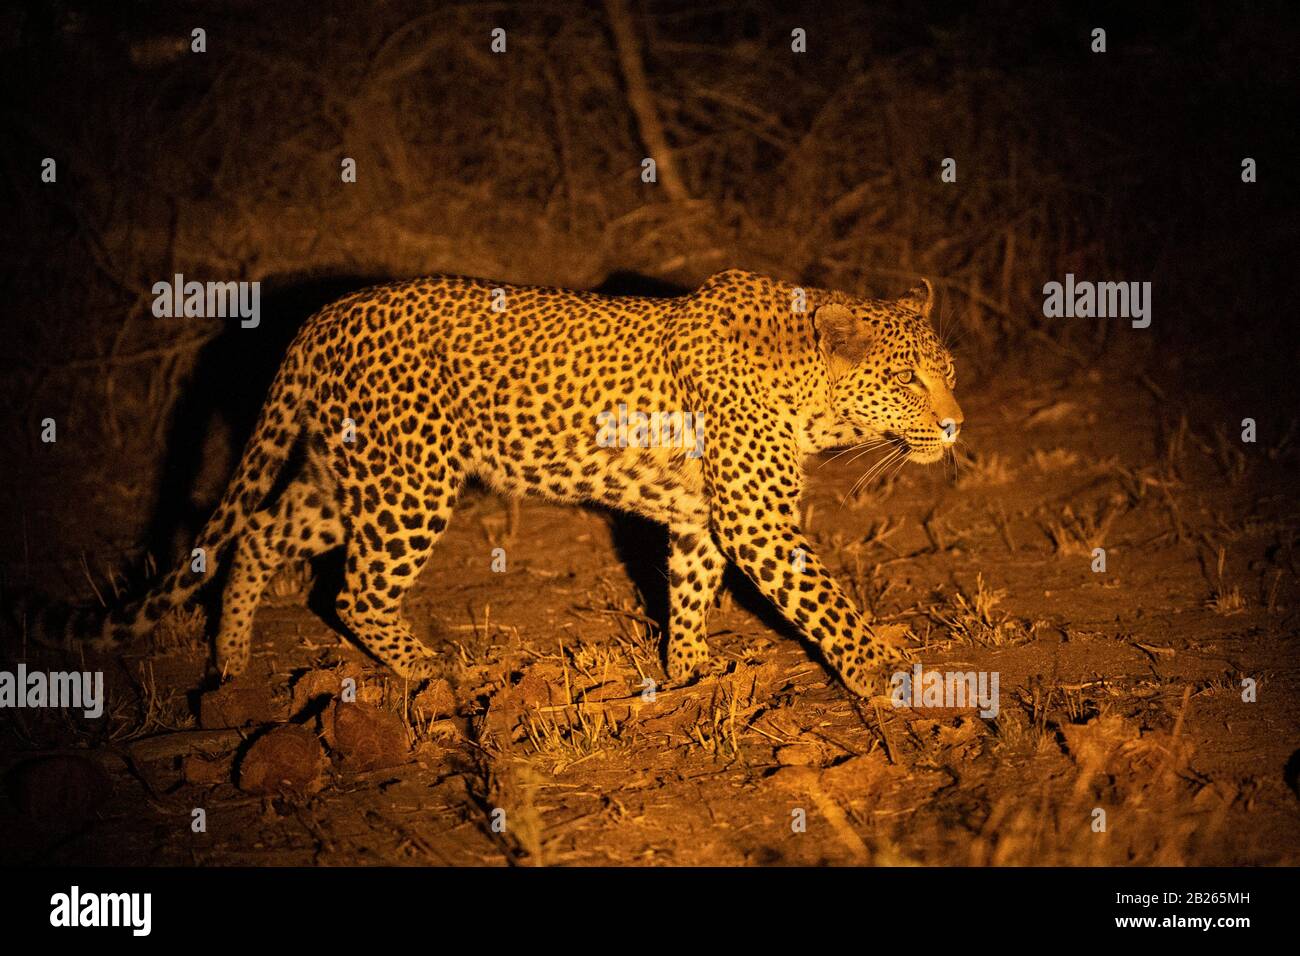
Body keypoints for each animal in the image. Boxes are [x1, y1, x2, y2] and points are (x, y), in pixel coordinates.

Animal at [55, 269, 961, 697]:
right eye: (907, 380)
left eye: (946, 373)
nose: (956, 425)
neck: (814, 396)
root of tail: (321, 316)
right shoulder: (757, 521)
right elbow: (826, 602)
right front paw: (880, 672)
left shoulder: (705, 517)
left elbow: (690, 588)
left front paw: (690, 669)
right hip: (410, 484)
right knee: (354, 594)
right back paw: (435, 673)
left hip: (346, 481)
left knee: (261, 532)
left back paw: (231, 659)